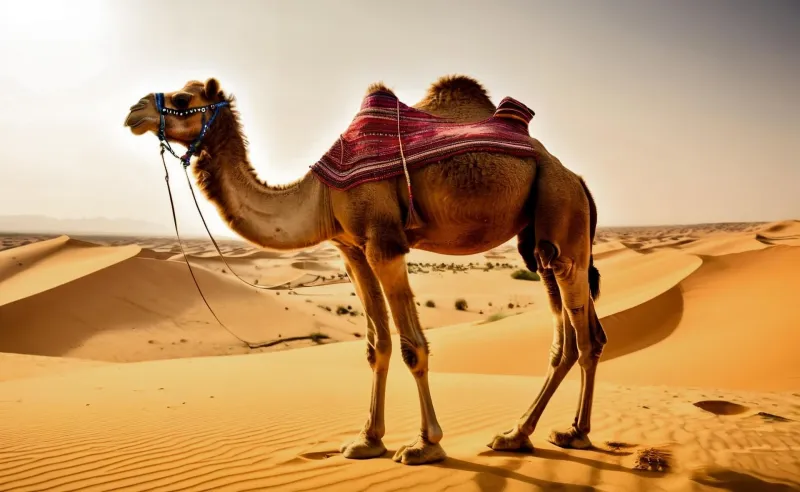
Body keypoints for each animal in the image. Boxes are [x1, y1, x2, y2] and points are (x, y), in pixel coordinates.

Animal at [124, 75, 606, 466]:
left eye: (183, 99)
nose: (134, 110)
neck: (318, 194)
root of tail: (579, 179)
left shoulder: (383, 243)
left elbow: (413, 347)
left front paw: (425, 445)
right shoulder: (351, 250)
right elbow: (377, 346)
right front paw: (367, 440)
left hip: (561, 213)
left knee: (583, 337)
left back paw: (576, 434)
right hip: (537, 242)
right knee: (570, 338)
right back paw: (517, 435)